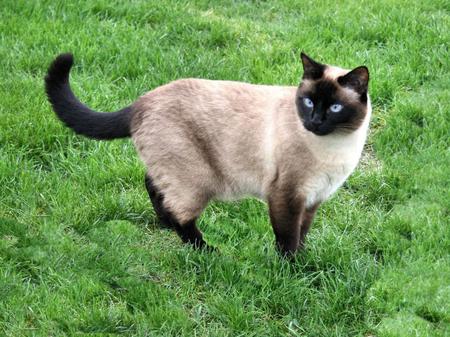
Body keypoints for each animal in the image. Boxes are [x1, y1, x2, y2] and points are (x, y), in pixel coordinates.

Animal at [44, 51, 370, 255]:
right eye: (308, 102)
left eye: (335, 108)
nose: (314, 122)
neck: (337, 147)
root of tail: (141, 102)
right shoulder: (286, 196)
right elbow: (287, 238)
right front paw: (291, 272)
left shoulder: (313, 199)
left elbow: (302, 234)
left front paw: (304, 262)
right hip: (198, 181)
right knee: (182, 216)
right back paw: (208, 251)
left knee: (153, 184)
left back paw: (164, 223)